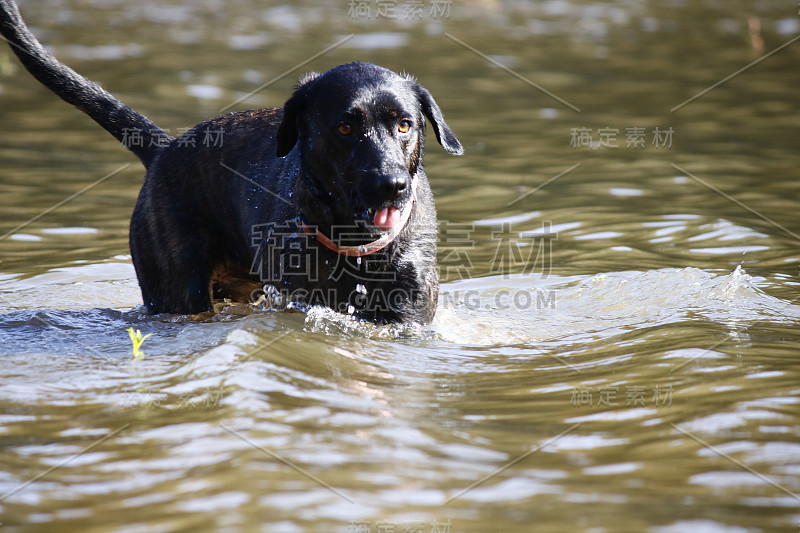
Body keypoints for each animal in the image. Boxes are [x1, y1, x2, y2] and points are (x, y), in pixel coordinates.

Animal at [0, 0, 462, 322]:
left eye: (404, 125)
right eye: (346, 127)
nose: (391, 185)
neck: (356, 245)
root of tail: (164, 149)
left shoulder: (408, 315)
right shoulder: (296, 302)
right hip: (176, 290)